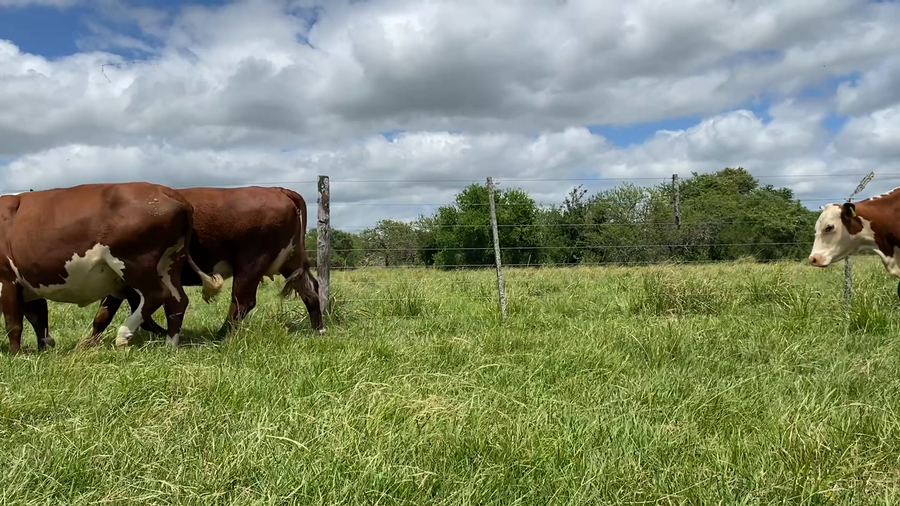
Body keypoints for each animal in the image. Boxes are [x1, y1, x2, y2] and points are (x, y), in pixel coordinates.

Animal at [0, 182, 225, 354]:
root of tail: (166, 190)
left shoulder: (7, 279)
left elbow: (13, 323)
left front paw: (16, 355)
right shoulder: (28, 285)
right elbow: (39, 319)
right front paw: (44, 349)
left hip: (132, 261)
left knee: (157, 294)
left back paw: (124, 334)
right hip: (171, 261)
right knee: (177, 300)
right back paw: (170, 345)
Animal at [86, 186, 325, 344]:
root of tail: (278, 189)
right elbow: (104, 314)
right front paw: (87, 344)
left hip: (251, 263)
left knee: (242, 302)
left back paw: (221, 335)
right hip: (290, 261)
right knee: (310, 290)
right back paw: (318, 330)